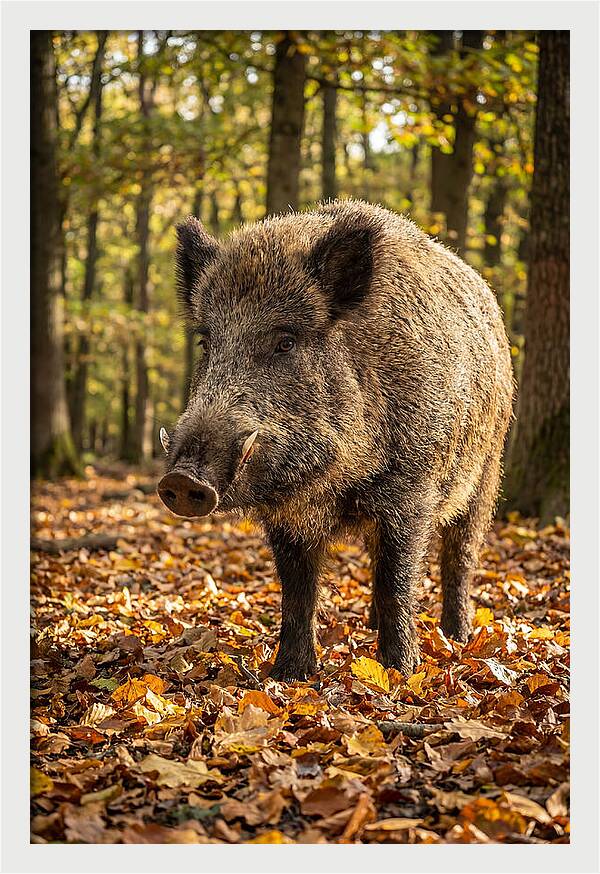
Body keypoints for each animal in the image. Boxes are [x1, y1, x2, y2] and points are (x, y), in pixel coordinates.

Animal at [157, 199, 513, 681]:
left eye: (285, 342)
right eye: (206, 343)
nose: (181, 480)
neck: (334, 482)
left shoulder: (411, 490)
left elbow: (397, 579)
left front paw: (399, 673)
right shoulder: (287, 516)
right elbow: (298, 589)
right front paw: (289, 675)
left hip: (487, 471)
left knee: (460, 556)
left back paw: (456, 637)